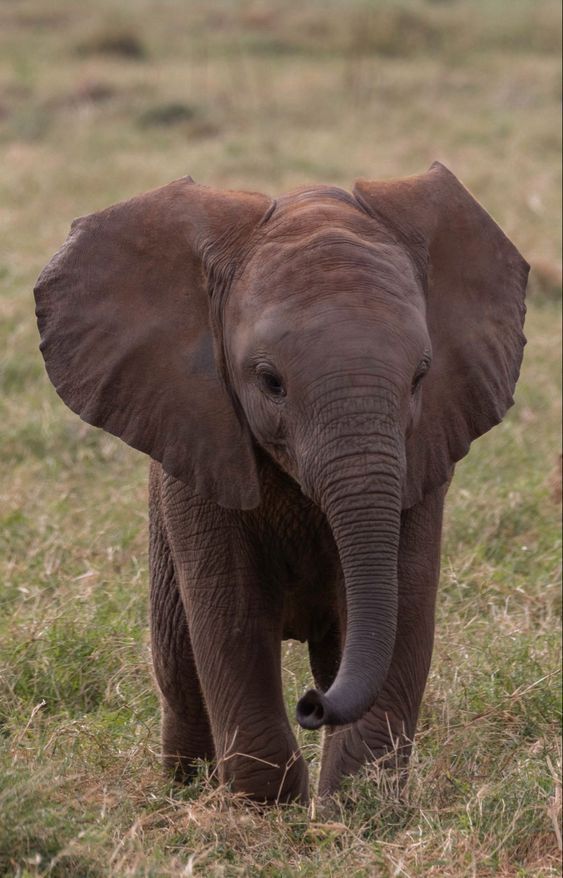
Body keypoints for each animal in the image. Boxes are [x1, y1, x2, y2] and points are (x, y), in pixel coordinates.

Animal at [35, 163, 528, 804]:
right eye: (270, 382)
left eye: (421, 376)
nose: (311, 706)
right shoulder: (199, 445)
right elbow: (231, 615)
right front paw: (268, 809)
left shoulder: (424, 453)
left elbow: (405, 604)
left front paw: (358, 808)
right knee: (180, 667)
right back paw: (185, 790)